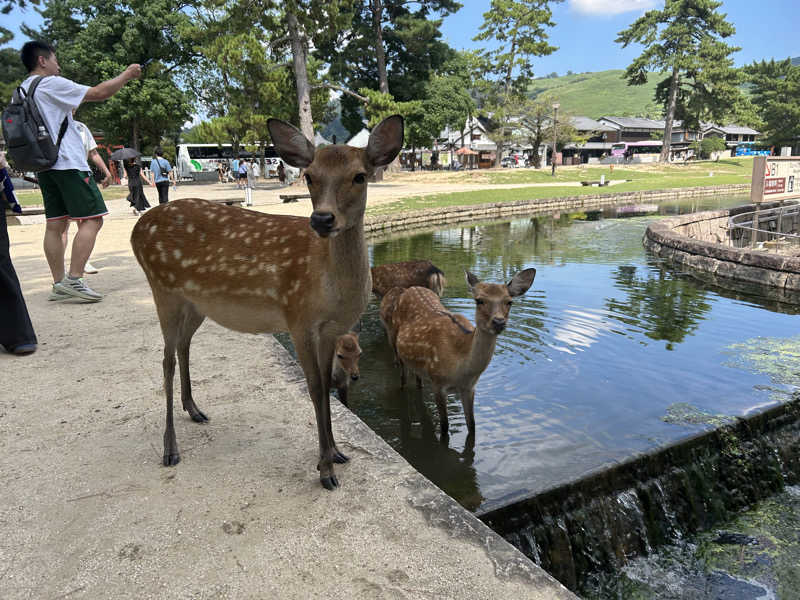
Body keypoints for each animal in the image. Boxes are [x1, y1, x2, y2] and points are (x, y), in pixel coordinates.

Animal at [133, 115, 406, 490]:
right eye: (309, 175)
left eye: (360, 176)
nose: (322, 219)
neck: (332, 289)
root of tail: (135, 230)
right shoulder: (298, 318)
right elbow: (315, 388)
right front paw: (325, 470)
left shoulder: (331, 330)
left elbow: (327, 387)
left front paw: (337, 453)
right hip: (163, 288)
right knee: (165, 360)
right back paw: (170, 449)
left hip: (195, 303)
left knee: (183, 347)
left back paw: (195, 410)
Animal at [390, 270, 536, 436]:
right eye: (479, 300)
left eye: (509, 302)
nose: (498, 322)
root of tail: (410, 288)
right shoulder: (437, 383)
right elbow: (444, 426)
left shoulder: (469, 387)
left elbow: (472, 424)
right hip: (395, 342)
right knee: (402, 377)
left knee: (418, 379)